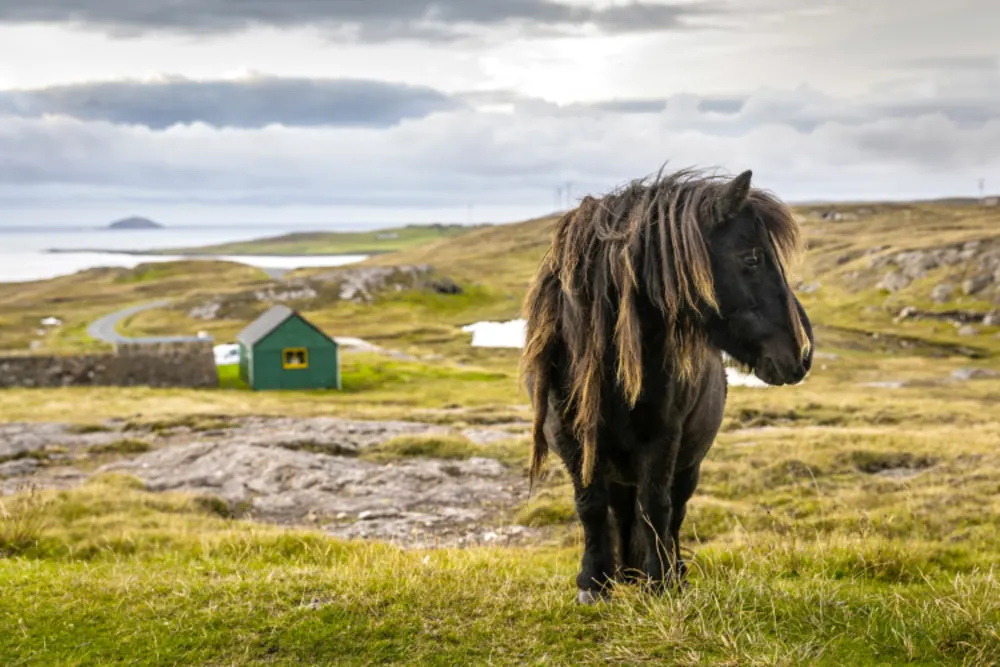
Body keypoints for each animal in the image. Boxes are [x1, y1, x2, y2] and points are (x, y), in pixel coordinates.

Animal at [520, 167, 814, 604]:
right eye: (752, 257)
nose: (803, 352)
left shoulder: (663, 438)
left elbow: (656, 507)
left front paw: (660, 582)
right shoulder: (573, 437)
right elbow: (590, 505)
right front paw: (594, 583)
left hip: (688, 462)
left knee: (674, 511)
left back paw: (669, 571)